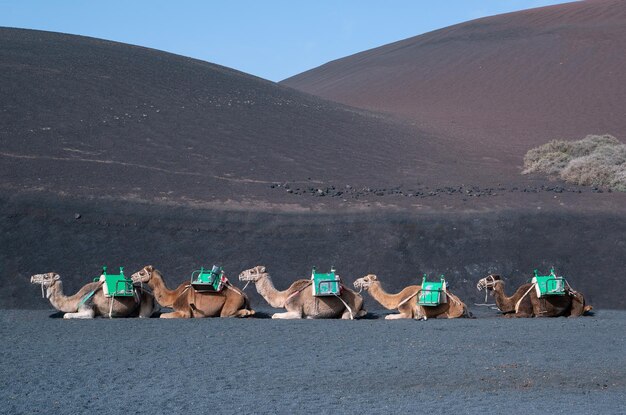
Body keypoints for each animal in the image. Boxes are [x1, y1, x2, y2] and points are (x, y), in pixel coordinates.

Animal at [238, 264, 366, 320]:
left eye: (252, 271)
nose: (241, 274)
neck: (284, 296)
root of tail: (360, 297)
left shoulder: (295, 309)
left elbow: (274, 315)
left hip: (352, 304)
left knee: (346, 316)